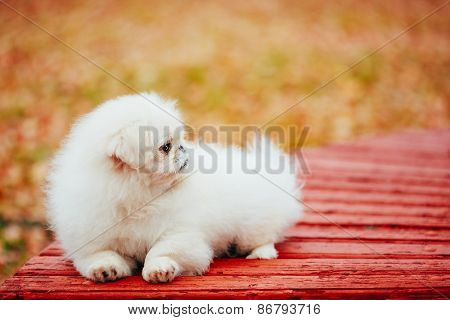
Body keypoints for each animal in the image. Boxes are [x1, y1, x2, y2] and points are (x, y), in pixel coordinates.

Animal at [46, 93, 302, 282]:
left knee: (265, 236)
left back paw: (261, 253)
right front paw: (105, 268)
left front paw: (159, 270)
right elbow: (101, 254)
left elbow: (162, 250)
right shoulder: (91, 237)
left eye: (179, 141)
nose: (183, 148)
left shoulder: (182, 235)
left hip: (252, 226)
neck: (139, 198)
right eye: (166, 147)